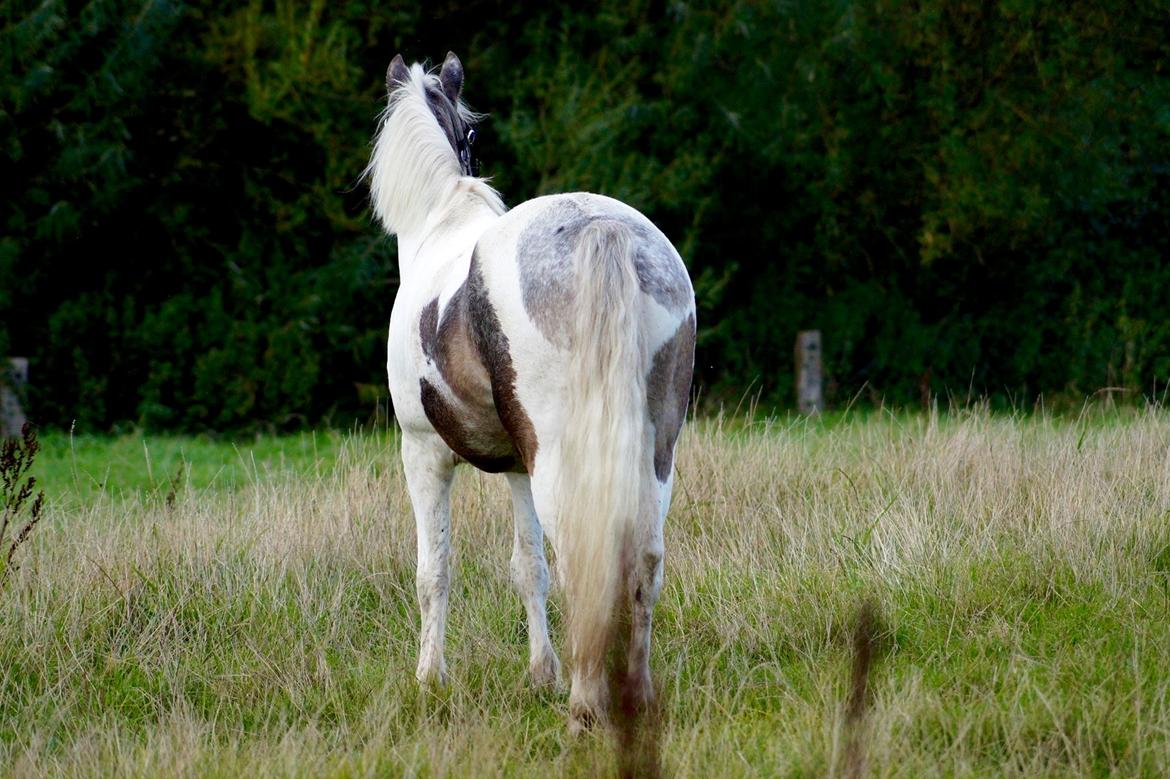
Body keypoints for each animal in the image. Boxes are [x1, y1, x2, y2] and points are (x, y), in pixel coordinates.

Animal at [366, 51, 696, 733]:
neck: (443, 225)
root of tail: (602, 228)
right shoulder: (518, 464)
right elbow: (528, 568)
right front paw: (540, 673)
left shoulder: (423, 453)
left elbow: (435, 571)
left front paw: (430, 680)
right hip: (654, 451)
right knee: (645, 559)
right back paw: (637, 696)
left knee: (583, 557)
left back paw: (585, 707)